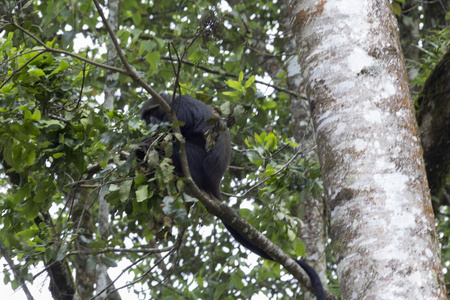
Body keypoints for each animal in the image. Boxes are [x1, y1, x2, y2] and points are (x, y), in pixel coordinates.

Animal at [136, 94, 324, 300]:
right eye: (147, 117)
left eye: (153, 112)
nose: (152, 122)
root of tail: (214, 182)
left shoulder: (179, 108)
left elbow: (175, 132)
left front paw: (147, 141)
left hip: (194, 164)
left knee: (176, 147)